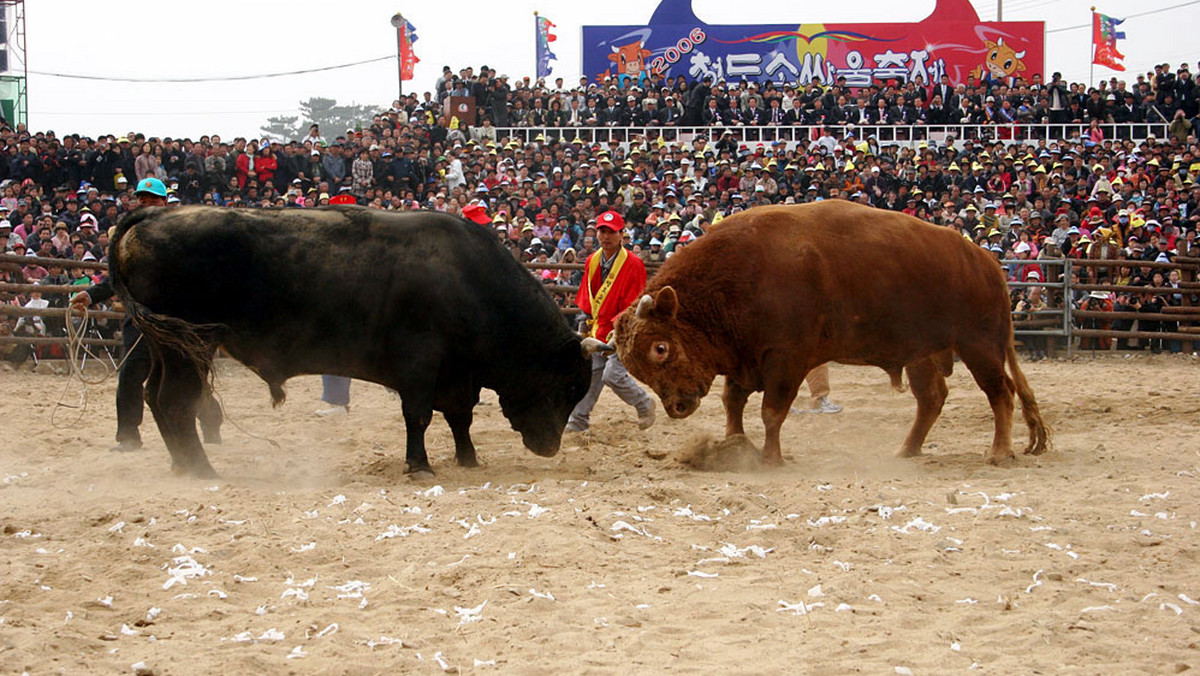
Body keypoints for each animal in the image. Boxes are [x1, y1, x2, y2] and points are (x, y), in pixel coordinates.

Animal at [110, 206, 600, 475]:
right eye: (566, 386)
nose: (550, 446)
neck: (470, 279)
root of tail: (155, 214)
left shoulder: (457, 374)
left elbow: (459, 417)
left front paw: (468, 458)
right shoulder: (420, 364)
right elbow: (419, 416)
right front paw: (419, 464)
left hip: (165, 346)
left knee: (156, 397)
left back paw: (182, 463)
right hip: (190, 344)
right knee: (176, 400)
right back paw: (200, 468)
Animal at [619, 200, 1051, 465]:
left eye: (660, 347)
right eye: (635, 366)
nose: (677, 406)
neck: (738, 274)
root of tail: (985, 262)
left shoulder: (787, 360)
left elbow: (771, 411)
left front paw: (770, 458)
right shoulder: (744, 357)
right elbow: (733, 403)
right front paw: (735, 446)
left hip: (980, 346)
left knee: (1000, 393)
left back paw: (999, 453)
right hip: (923, 355)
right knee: (932, 399)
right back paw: (906, 451)